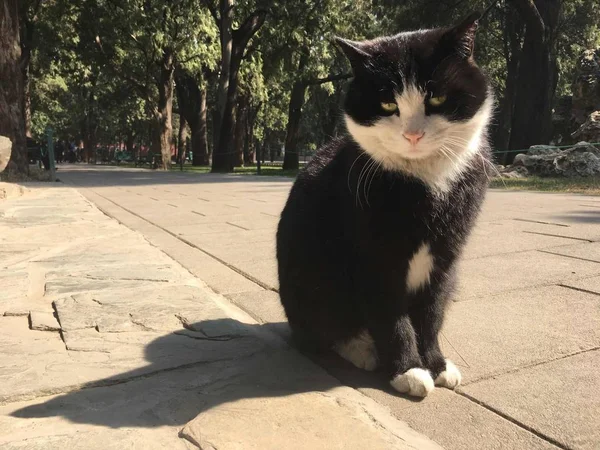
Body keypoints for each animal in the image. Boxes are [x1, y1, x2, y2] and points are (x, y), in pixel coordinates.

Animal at [276, 12, 492, 396]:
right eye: (389, 104)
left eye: (438, 98)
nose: (413, 134)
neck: (423, 183)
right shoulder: (374, 258)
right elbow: (391, 317)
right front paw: (408, 369)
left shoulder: (447, 256)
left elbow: (432, 313)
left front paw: (435, 363)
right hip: (312, 284)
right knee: (320, 333)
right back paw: (362, 349)